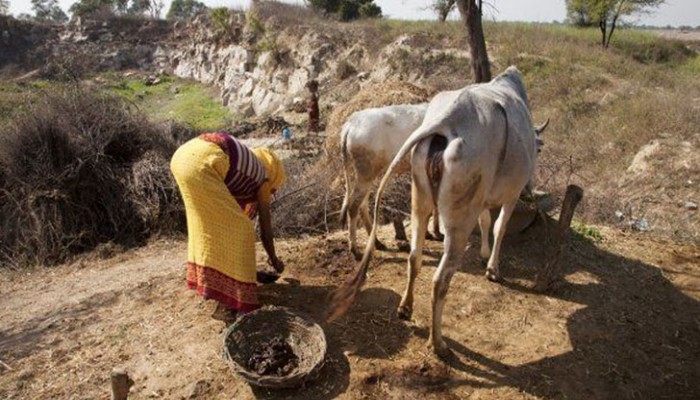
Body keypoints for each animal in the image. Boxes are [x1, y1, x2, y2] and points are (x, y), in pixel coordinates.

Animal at [336, 102, 440, 260]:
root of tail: (351, 123)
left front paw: (431, 233)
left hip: (367, 175)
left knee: (362, 204)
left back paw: (377, 243)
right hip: (365, 173)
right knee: (353, 206)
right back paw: (355, 250)